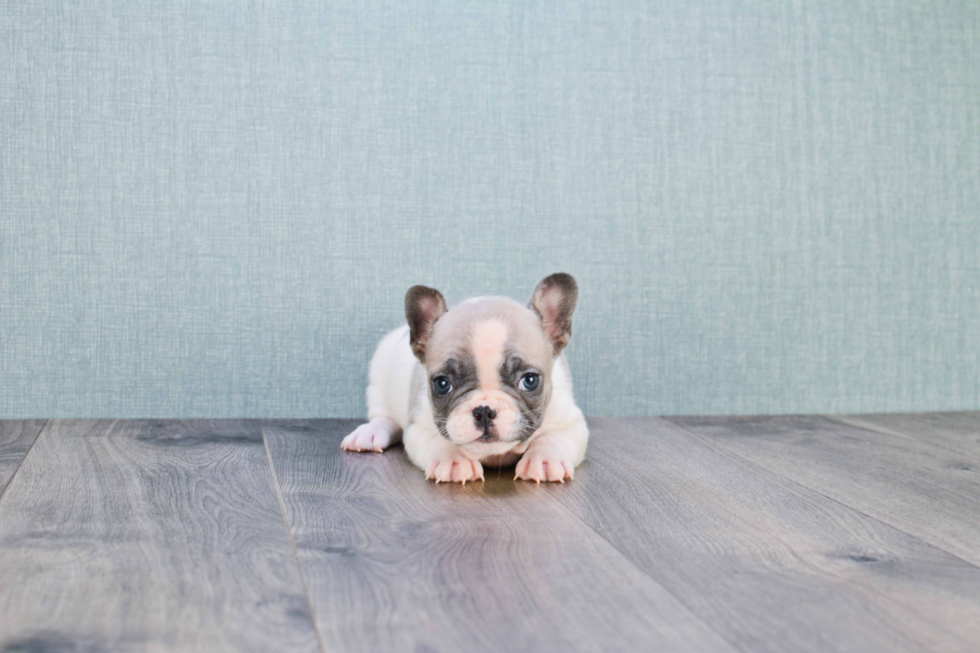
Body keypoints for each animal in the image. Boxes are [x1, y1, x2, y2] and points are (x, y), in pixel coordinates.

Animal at [342, 272, 588, 482]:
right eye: (442, 384)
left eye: (530, 381)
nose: (484, 410)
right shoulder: (419, 428)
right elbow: (440, 440)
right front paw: (453, 459)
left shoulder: (571, 422)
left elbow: (553, 437)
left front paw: (545, 459)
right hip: (378, 379)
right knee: (383, 417)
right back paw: (369, 433)